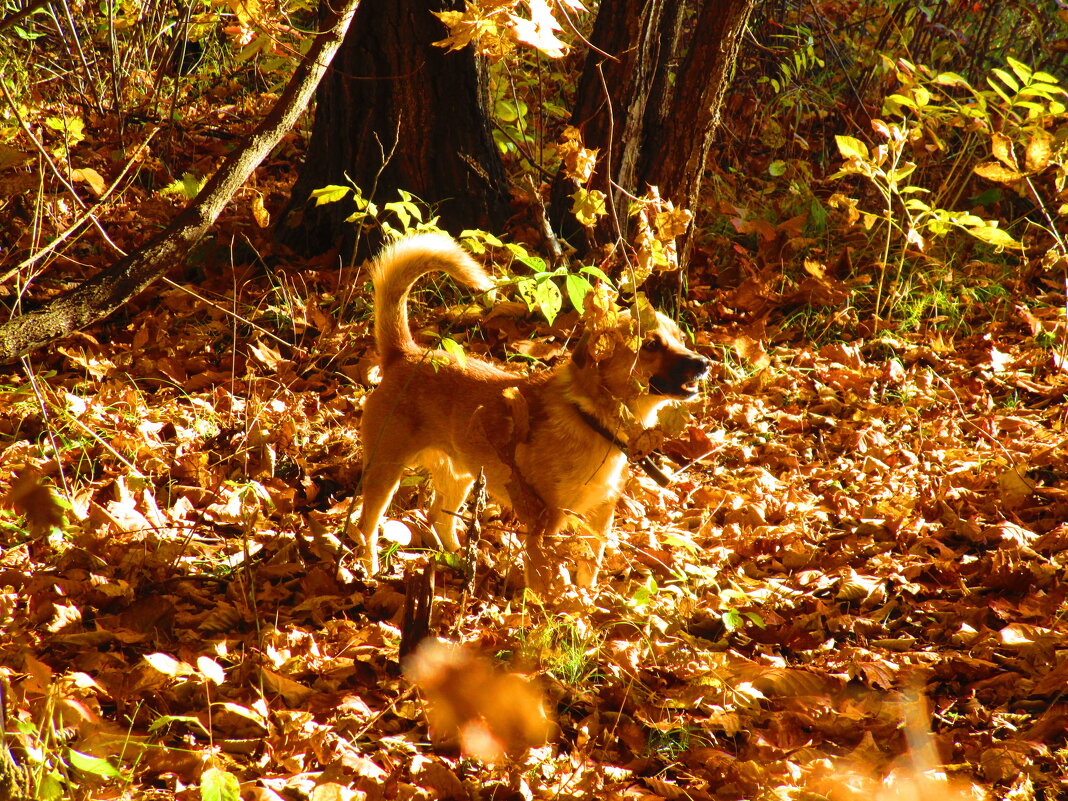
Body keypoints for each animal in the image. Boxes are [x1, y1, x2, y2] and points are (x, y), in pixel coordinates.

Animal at [356, 231, 709, 589]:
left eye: (680, 339)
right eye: (650, 345)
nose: (704, 363)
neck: (592, 418)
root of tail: (405, 354)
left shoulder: (600, 517)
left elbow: (589, 571)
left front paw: (584, 601)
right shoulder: (543, 523)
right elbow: (542, 584)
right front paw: (548, 603)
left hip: (461, 475)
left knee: (438, 518)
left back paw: (460, 564)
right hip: (385, 473)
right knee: (365, 527)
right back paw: (370, 570)